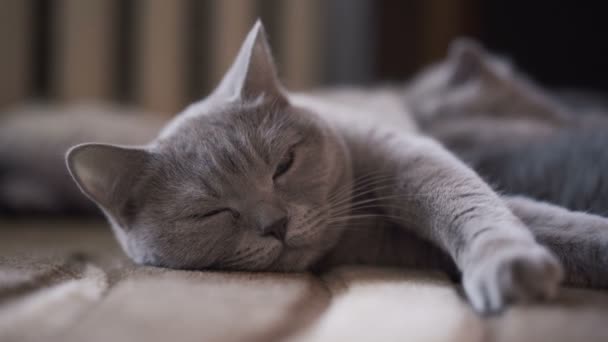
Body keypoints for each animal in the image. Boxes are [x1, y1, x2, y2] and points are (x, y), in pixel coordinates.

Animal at [65, 22, 608, 316]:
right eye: (210, 213)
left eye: (283, 164)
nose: (276, 224)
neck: (357, 228)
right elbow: (535, 220)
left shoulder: (416, 158)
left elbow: (475, 205)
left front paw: (508, 262)